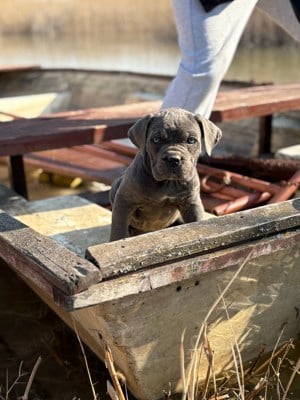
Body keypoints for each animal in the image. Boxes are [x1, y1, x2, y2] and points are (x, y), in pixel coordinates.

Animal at [109, 106, 221, 242]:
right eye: (156, 139)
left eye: (191, 140)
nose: (173, 159)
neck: (168, 183)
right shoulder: (124, 201)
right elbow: (118, 230)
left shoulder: (191, 203)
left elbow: (196, 222)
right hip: (116, 185)